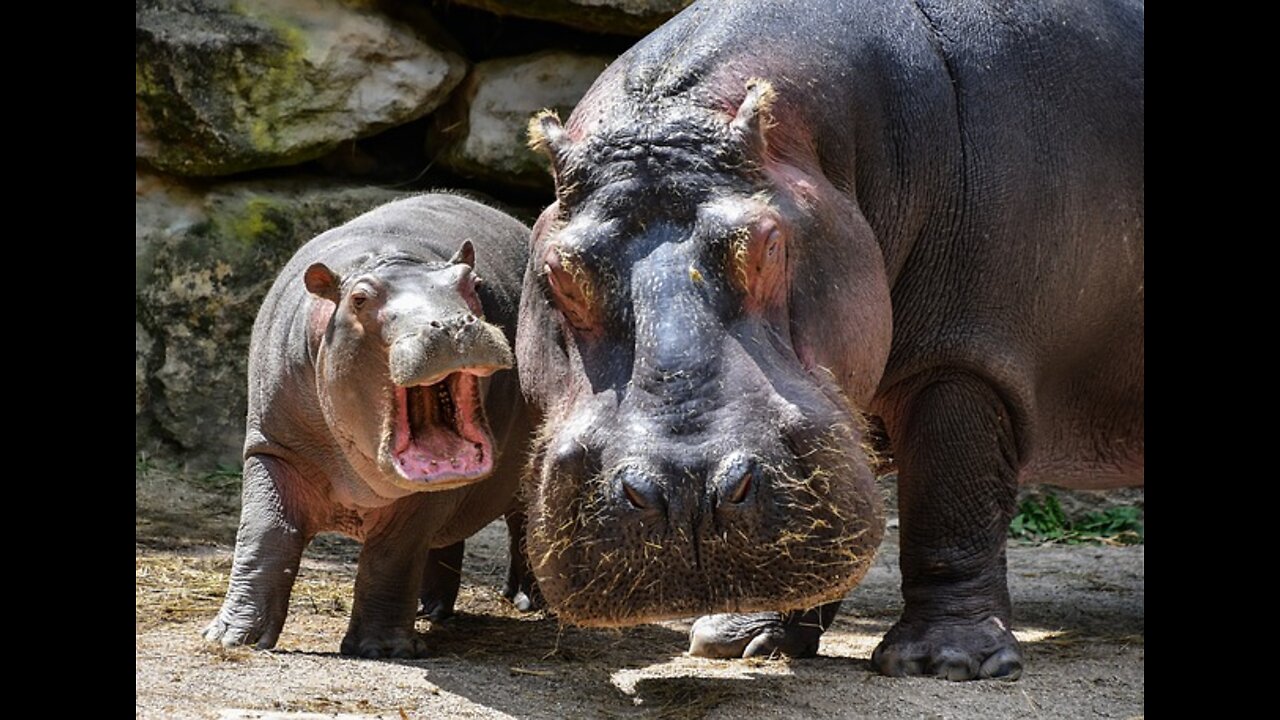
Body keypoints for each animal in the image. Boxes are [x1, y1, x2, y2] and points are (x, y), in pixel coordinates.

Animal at [204, 193, 535, 653]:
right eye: (359, 298)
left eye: (472, 283)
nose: (453, 325)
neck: (388, 259)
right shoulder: (272, 448)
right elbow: (265, 531)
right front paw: (232, 637)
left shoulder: (421, 499)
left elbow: (394, 554)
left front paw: (381, 649)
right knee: (447, 542)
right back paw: (429, 611)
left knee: (523, 520)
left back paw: (527, 600)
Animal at [514, 0, 1146, 676]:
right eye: (558, 270)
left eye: (768, 243)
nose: (688, 489)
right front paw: (743, 640)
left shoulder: (965, 356)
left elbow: (950, 502)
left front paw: (945, 662)